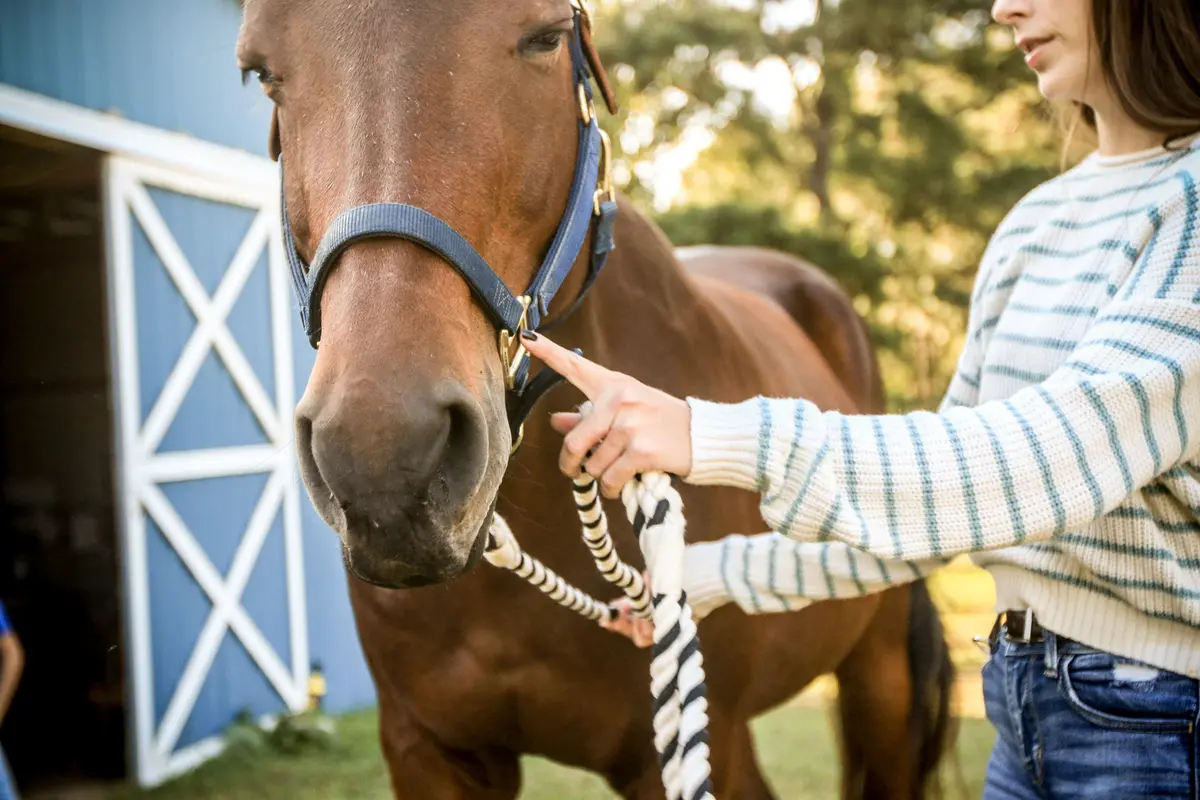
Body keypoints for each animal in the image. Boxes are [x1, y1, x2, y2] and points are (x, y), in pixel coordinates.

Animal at [235, 1, 955, 797]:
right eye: (260, 72)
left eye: (547, 36)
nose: (384, 458)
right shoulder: (426, 749)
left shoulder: (675, 754)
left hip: (878, 680)